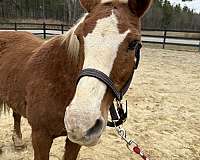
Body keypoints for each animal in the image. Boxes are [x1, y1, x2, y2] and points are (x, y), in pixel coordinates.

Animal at [0, 0, 152, 159]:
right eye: (79, 37)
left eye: (134, 44)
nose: (80, 122)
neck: (60, 82)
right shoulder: (40, 136)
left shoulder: (74, 142)